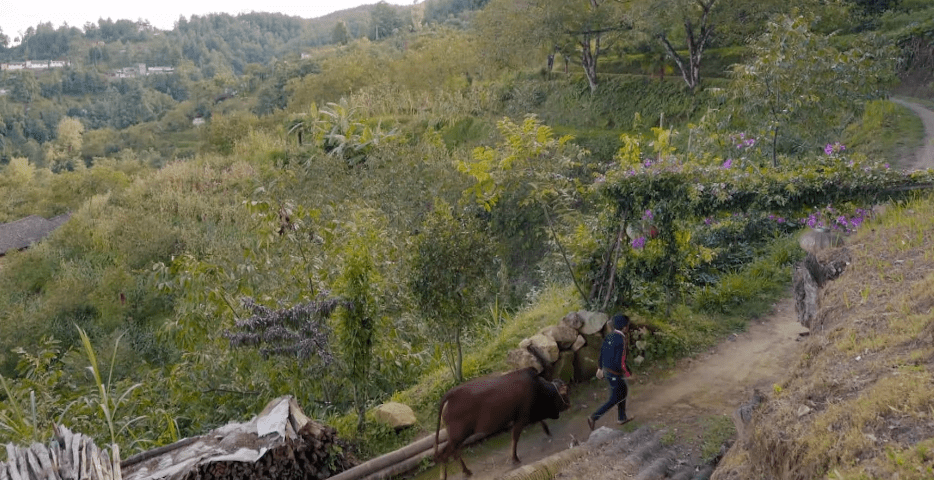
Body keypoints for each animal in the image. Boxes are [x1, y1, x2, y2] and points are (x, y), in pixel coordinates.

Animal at [432, 368, 572, 476]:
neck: (539, 387)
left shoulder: (527, 414)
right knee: (445, 453)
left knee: (450, 452)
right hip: (459, 435)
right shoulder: (522, 417)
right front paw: (515, 458)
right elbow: (515, 438)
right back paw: (456, 473)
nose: (569, 405)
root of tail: (450, 395)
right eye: (565, 393)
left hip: (456, 436)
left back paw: (463, 471)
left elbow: (542, 422)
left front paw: (548, 432)